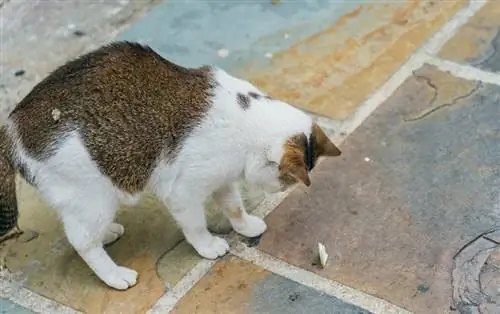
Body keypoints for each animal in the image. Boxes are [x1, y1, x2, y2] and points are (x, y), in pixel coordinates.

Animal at [0, 41, 342, 290]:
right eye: (286, 179)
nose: (279, 189)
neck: (244, 120)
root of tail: (12, 126)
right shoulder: (183, 191)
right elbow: (195, 224)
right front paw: (207, 246)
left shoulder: (222, 178)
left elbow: (233, 206)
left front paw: (244, 226)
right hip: (94, 196)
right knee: (81, 239)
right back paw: (114, 275)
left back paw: (109, 233)